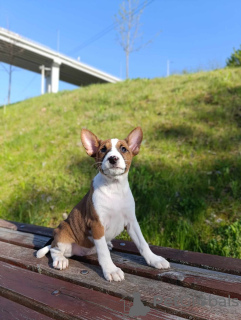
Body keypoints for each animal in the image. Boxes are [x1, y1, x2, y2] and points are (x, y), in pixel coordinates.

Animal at [36, 126, 170, 282]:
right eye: (103, 149)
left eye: (123, 149)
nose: (113, 158)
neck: (114, 188)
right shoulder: (97, 225)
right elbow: (104, 253)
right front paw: (111, 270)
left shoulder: (132, 222)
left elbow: (142, 243)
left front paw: (154, 259)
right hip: (63, 235)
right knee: (54, 249)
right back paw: (60, 260)